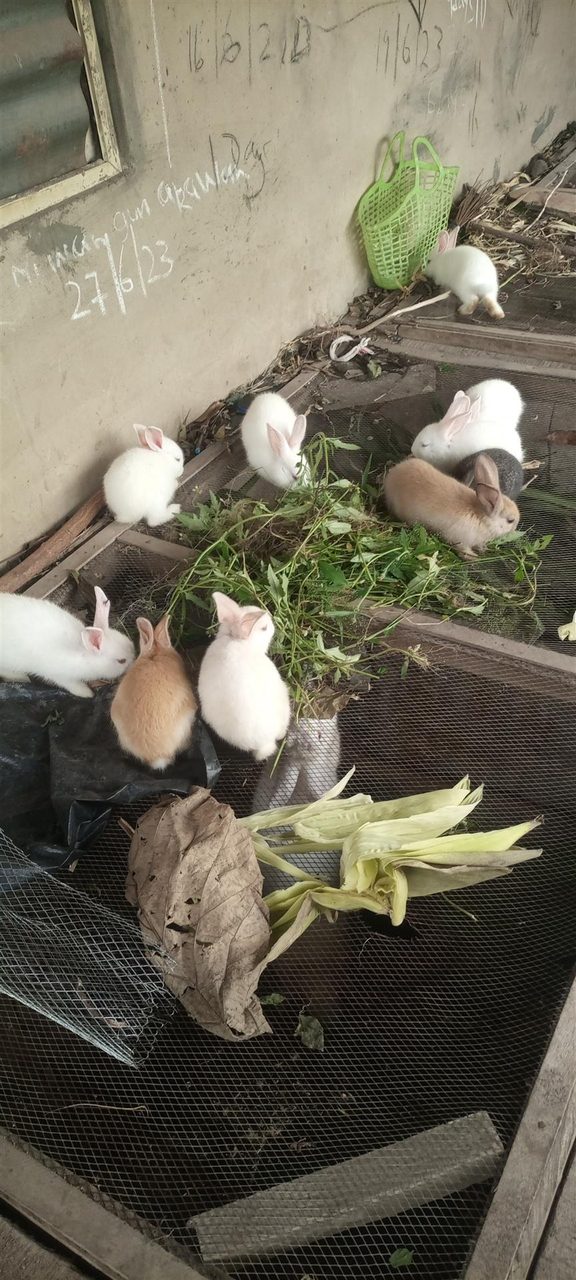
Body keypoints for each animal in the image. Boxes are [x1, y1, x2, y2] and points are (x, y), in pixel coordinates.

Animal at [0, 586, 134, 698]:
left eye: (130, 643)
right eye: (121, 661)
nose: (134, 661)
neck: (82, 650)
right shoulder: (60, 676)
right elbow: (73, 686)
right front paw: (88, 694)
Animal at [382, 453, 520, 557]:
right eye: (510, 520)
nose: (514, 530)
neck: (482, 517)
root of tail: (392, 474)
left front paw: (483, 549)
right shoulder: (460, 541)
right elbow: (463, 550)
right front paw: (473, 557)